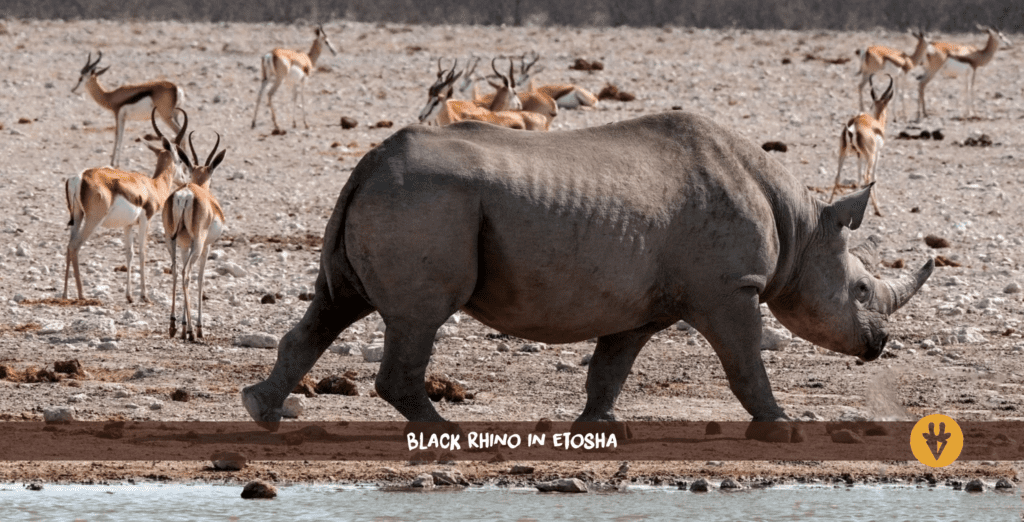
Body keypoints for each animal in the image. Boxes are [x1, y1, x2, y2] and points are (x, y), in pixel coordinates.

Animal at [242, 112, 933, 440]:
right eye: (862, 290)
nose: (880, 345)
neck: (801, 226)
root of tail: (368, 162)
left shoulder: (644, 304)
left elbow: (611, 366)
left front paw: (598, 429)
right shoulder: (730, 287)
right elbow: (745, 364)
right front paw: (782, 424)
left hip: (397, 199)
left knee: (335, 304)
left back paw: (261, 411)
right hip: (426, 204)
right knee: (417, 318)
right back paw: (452, 434)